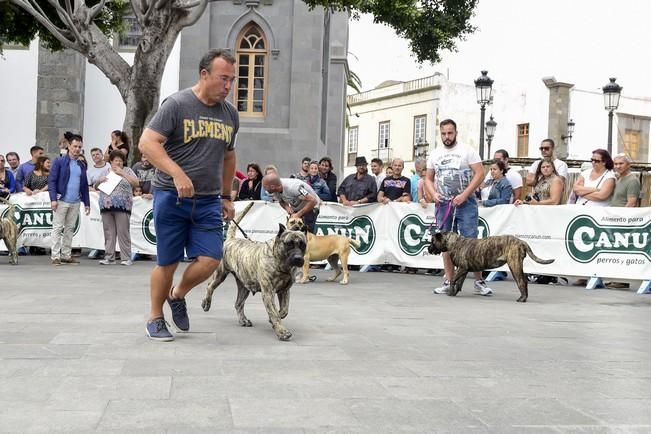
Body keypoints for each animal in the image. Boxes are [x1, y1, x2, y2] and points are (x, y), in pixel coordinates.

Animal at [201, 203, 308, 342]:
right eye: (288, 244)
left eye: (302, 244)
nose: (298, 258)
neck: (279, 262)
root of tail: (230, 240)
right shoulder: (268, 292)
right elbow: (274, 313)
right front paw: (282, 331)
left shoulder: (284, 291)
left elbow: (284, 310)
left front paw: (276, 318)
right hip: (220, 274)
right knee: (210, 287)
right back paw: (206, 303)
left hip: (244, 286)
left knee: (238, 304)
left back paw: (243, 320)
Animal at [428, 231, 556, 302]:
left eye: (432, 241)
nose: (428, 248)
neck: (454, 242)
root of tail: (521, 242)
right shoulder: (463, 270)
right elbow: (459, 283)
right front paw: (454, 292)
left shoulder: (462, 268)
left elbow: (453, 280)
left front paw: (450, 292)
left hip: (514, 265)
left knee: (522, 282)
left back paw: (522, 299)